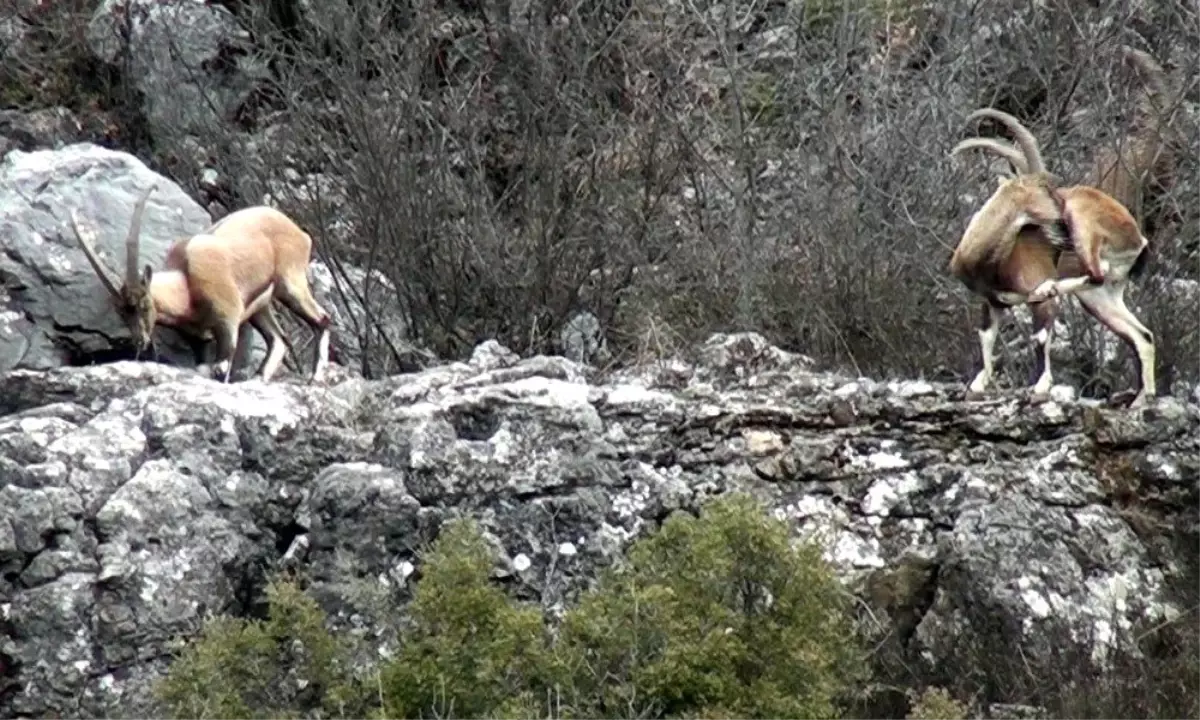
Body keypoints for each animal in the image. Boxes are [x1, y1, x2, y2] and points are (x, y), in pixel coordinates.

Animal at [69, 186, 333, 386]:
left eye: (144, 304)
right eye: (122, 313)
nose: (140, 342)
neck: (186, 285)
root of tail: (300, 233)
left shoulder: (228, 320)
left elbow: (220, 368)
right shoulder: (198, 340)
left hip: (290, 283)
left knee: (321, 319)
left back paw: (315, 378)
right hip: (260, 307)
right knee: (279, 339)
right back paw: (259, 379)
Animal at [945, 108, 1152, 410]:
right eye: (1043, 190)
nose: (1062, 228)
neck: (990, 260)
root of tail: (1140, 240)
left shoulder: (1037, 293)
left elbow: (1041, 335)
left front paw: (1041, 388)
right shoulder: (991, 302)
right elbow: (986, 336)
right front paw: (977, 386)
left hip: (1085, 225)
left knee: (1096, 270)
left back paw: (1048, 287)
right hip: (1101, 297)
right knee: (1142, 335)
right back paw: (1142, 399)